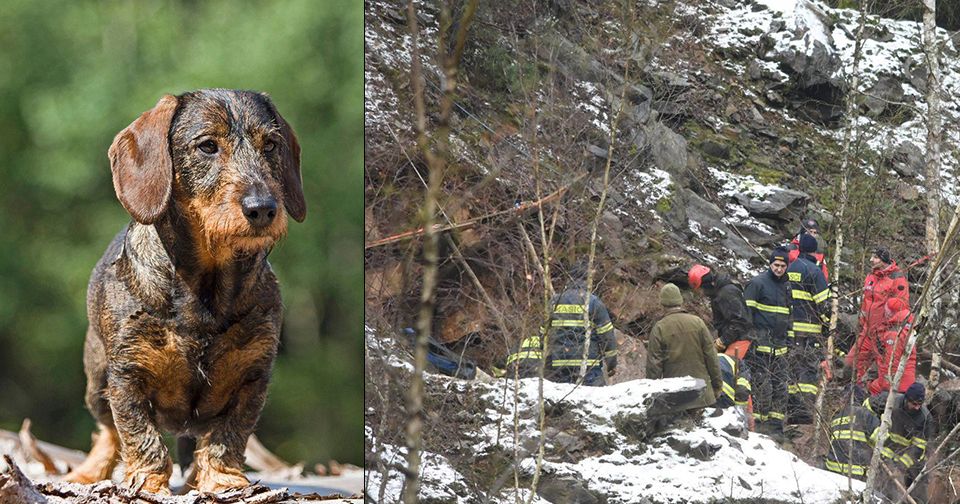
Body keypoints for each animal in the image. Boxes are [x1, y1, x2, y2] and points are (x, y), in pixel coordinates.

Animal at [65, 88, 306, 494]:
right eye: (208, 146)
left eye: (271, 145)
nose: (263, 208)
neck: (205, 290)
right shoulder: (127, 376)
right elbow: (138, 435)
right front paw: (147, 481)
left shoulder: (252, 378)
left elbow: (229, 435)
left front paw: (223, 479)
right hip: (97, 381)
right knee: (107, 431)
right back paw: (89, 471)